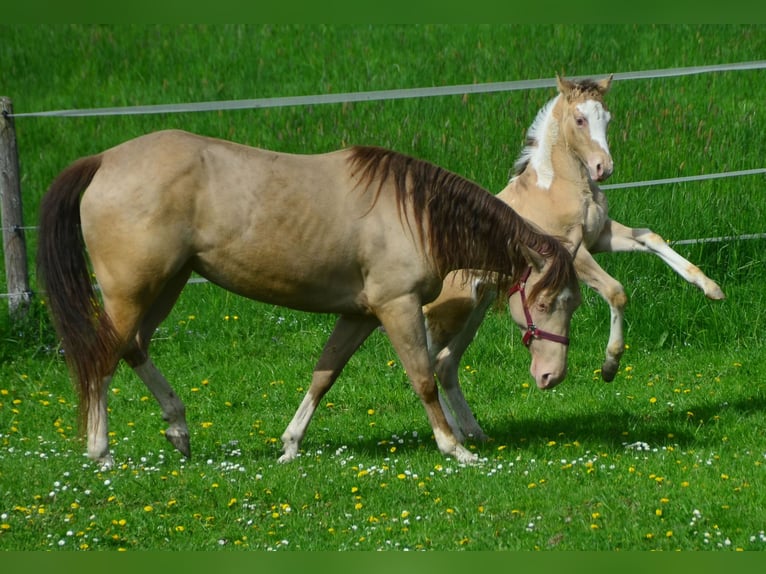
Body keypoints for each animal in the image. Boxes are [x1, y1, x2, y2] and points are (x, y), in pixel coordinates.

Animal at [37, 130, 584, 468]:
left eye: (573, 303)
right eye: (547, 301)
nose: (551, 376)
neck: (413, 213)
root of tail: (103, 161)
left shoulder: (359, 315)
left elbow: (324, 375)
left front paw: (290, 445)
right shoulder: (397, 307)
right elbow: (424, 378)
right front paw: (455, 448)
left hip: (164, 288)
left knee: (133, 348)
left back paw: (178, 428)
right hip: (133, 292)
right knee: (102, 357)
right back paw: (102, 451)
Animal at [426, 75, 728, 440]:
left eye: (607, 119)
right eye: (580, 120)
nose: (603, 168)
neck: (556, 187)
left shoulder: (600, 237)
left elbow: (650, 237)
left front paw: (711, 288)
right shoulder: (571, 250)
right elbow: (615, 290)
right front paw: (610, 366)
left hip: (474, 311)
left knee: (444, 363)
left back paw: (475, 433)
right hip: (449, 312)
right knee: (425, 359)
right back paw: (454, 434)